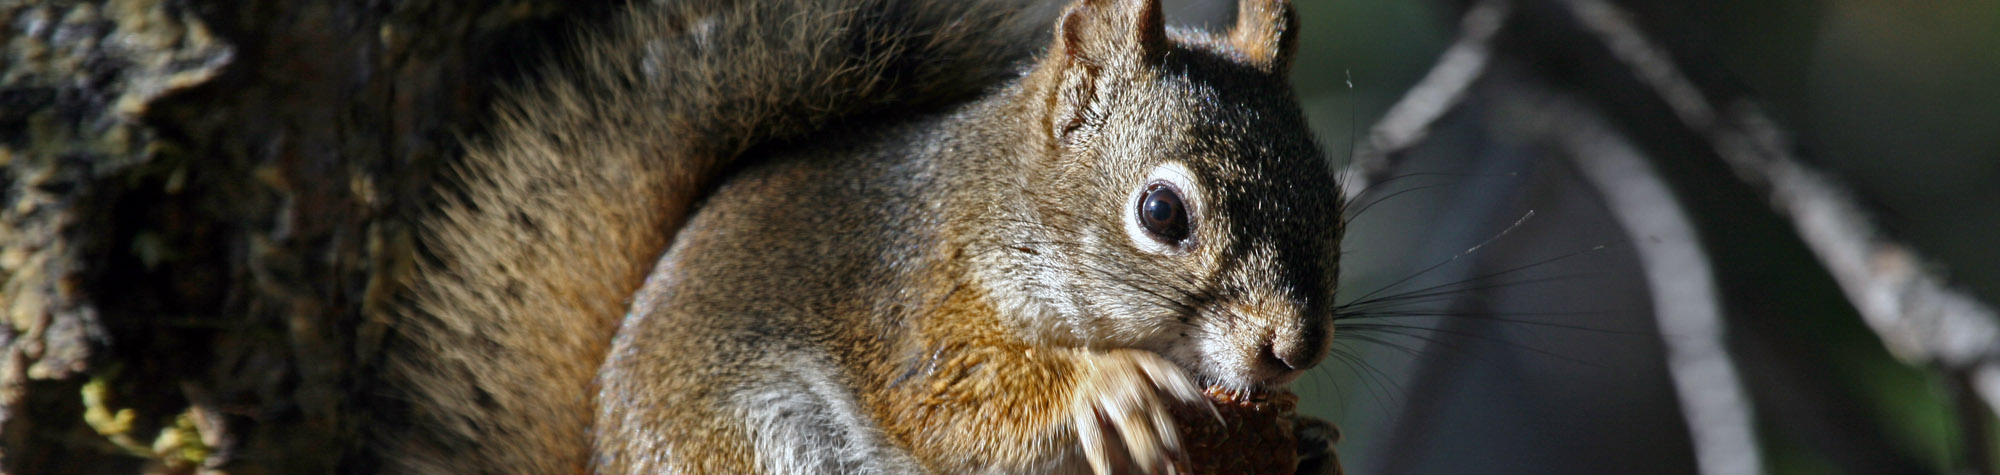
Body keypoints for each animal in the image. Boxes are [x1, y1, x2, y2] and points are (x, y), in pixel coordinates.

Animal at [373, 0, 1345, 472]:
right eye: (1162, 213)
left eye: (1333, 199)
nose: (1292, 350)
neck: (1000, 213)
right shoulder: (911, 304)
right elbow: (951, 405)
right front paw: (1109, 387)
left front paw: (1309, 445)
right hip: (741, 447)